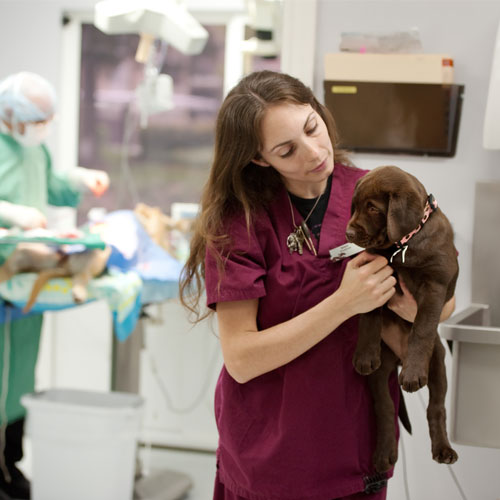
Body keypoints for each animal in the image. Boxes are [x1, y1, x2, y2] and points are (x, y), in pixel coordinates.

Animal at [346, 166, 458, 474]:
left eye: (373, 208)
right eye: (354, 206)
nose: (348, 231)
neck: (401, 247)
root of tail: (397, 359)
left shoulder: (434, 285)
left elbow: (422, 327)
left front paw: (413, 374)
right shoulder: (376, 272)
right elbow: (368, 316)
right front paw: (364, 354)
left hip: (438, 361)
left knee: (436, 408)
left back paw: (443, 450)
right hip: (380, 375)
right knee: (385, 409)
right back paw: (384, 454)